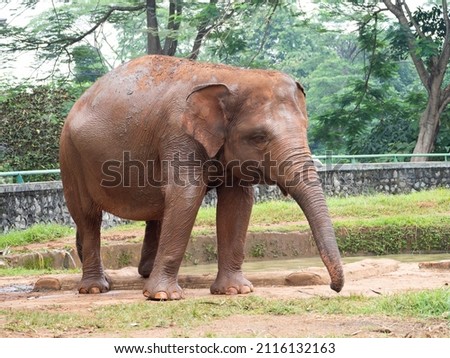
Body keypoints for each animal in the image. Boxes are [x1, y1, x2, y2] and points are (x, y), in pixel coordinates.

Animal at [58, 54, 342, 300]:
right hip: (70, 158)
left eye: (305, 129)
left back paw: (143, 274)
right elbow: (187, 195)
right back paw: (95, 288)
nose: (334, 287)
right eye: (259, 137)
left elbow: (238, 202)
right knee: (88, 216)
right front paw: (164, 296)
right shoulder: (179, 135)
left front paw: (235, 291)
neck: (232, 75)